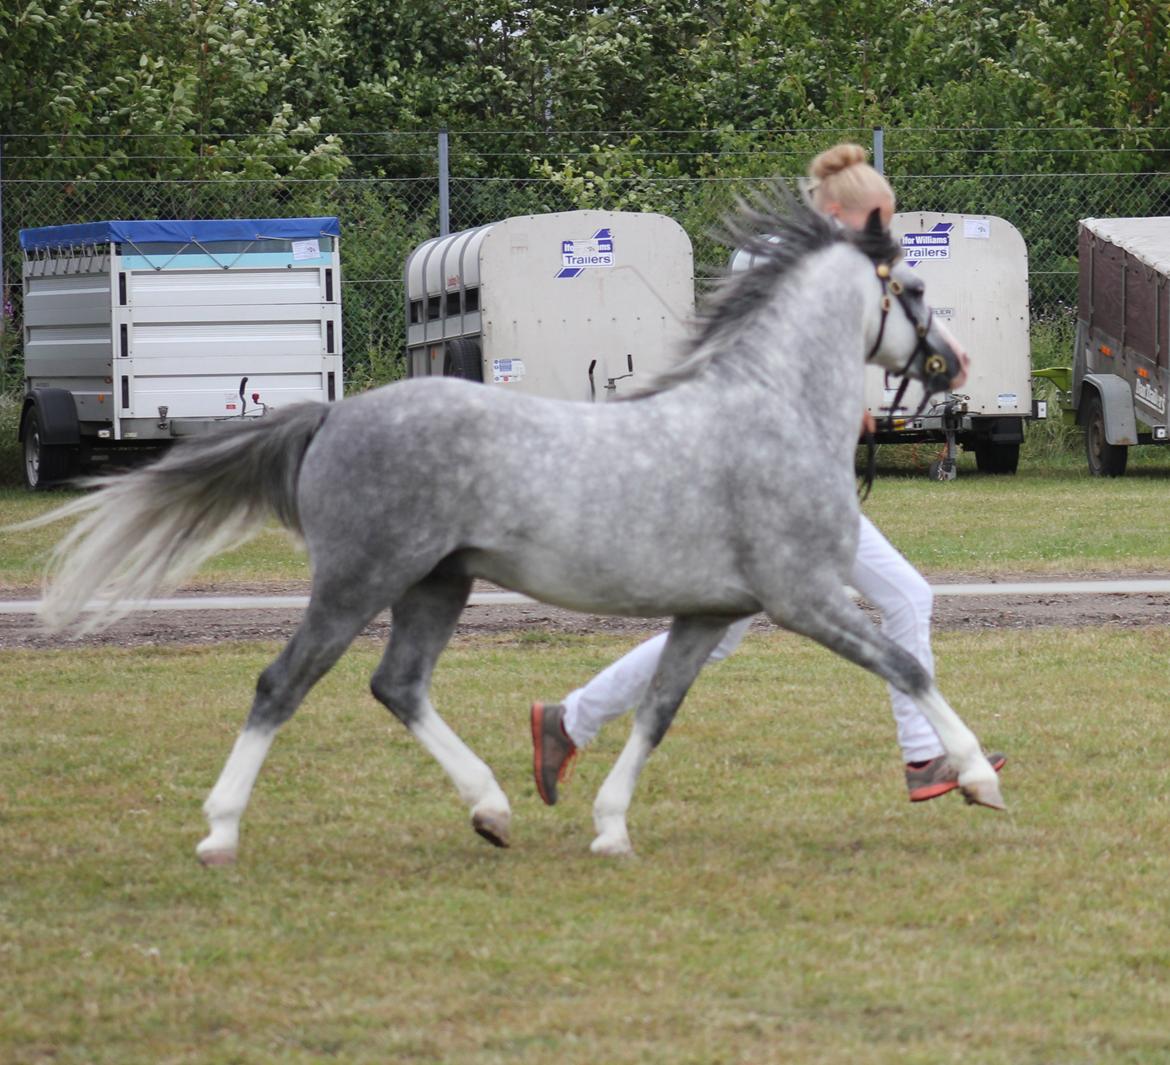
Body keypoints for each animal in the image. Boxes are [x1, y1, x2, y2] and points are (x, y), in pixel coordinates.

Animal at [27, 196, 1003, 863]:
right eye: (916, 287)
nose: (954, 365)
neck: (773, 409)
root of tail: (333, 416)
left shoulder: (710, 613)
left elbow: (658, 709)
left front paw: (609, 826)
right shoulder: (802, 597)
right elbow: (908, 664)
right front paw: (979, 778)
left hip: (440, 582)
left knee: (397, 685)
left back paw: (493, 808)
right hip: (356, 581)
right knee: (282, 684)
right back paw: (221, 833)